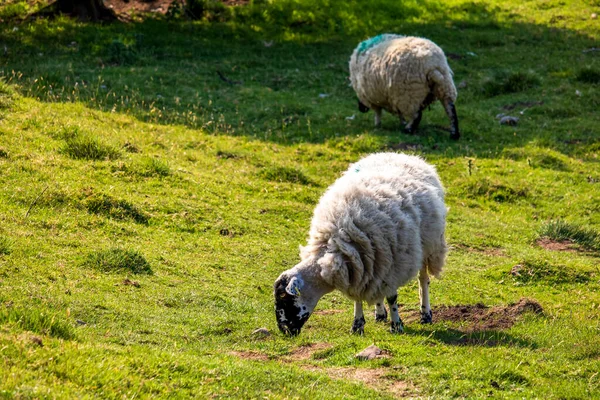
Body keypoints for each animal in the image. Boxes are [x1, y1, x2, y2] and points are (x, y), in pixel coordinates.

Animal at [274, 152, 448, 336]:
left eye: (284, 297)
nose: (284, 331)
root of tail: (400, 154)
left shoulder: (393, 266)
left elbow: (392, 297)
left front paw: (396, 325)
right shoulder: (358, 265)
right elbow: (358, 296)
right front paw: (357, 325)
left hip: (427, 246)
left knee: (423, 280)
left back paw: (425, 314)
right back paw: (380, 313)